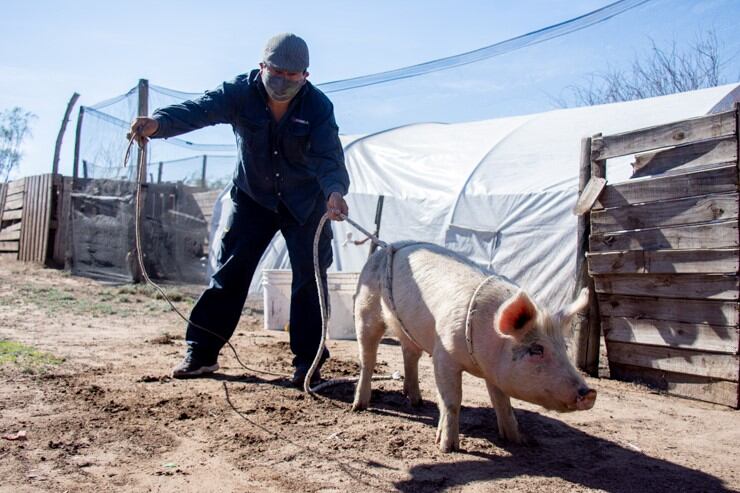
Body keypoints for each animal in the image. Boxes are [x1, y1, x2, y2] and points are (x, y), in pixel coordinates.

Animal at [352, 240, 596, 452]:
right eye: (536, 349)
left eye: (564, 348)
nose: (589, 392)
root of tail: (388, 246)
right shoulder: (443, 354)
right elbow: (452, 401)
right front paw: (448, 448)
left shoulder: (494, 372)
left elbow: (503, 403)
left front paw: (518, 441)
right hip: (366, 310)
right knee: (368, 359)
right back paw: (359, 406)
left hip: (408, 328)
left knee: (410, 354)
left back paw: (417, 402)